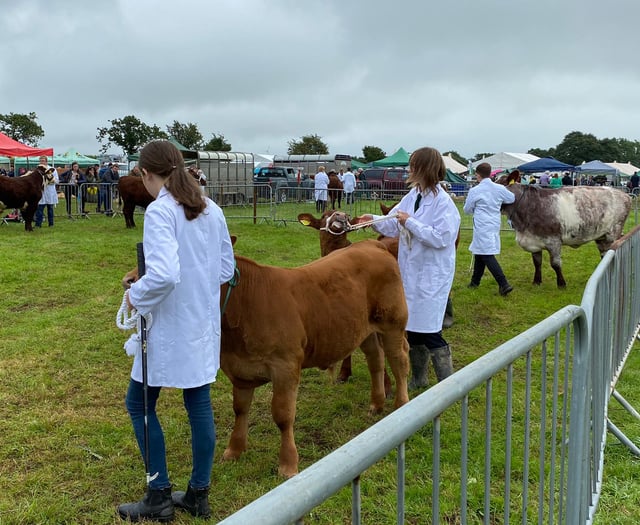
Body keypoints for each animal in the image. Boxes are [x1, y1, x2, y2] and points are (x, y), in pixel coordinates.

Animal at [220, 239, 410, 476]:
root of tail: (370, 243)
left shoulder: (286, 366)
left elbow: (283, 415)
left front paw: (288, 464)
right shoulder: (240, 369)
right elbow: (240, 409)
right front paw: (233, 451)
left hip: (393, 323)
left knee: (399, 361)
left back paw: (402, 405)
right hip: (363, 329)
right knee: (376, 359)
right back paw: (376, 404)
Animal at [500, 171, 632, 286]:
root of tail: (624, 194)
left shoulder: (554, 241)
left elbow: (555, 264)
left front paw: (561, 283)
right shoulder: (533, 241)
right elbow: (537, 263)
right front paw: (536, 282)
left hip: (613, 233)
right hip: (601, 235)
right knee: (604, 254)